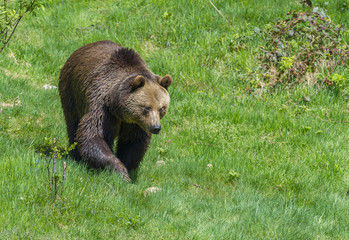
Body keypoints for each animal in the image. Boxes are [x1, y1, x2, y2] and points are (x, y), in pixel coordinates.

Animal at [58, 40, 173, 181]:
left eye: (161, 108)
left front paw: (128, 168)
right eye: (147, 107)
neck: (118, 109)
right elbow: (93, 135)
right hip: (71, 90)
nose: (156, 127)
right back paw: (76, 156)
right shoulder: (102, 108)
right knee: (73, 123)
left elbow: (133, 142)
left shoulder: (134, 123)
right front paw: (120, 171)